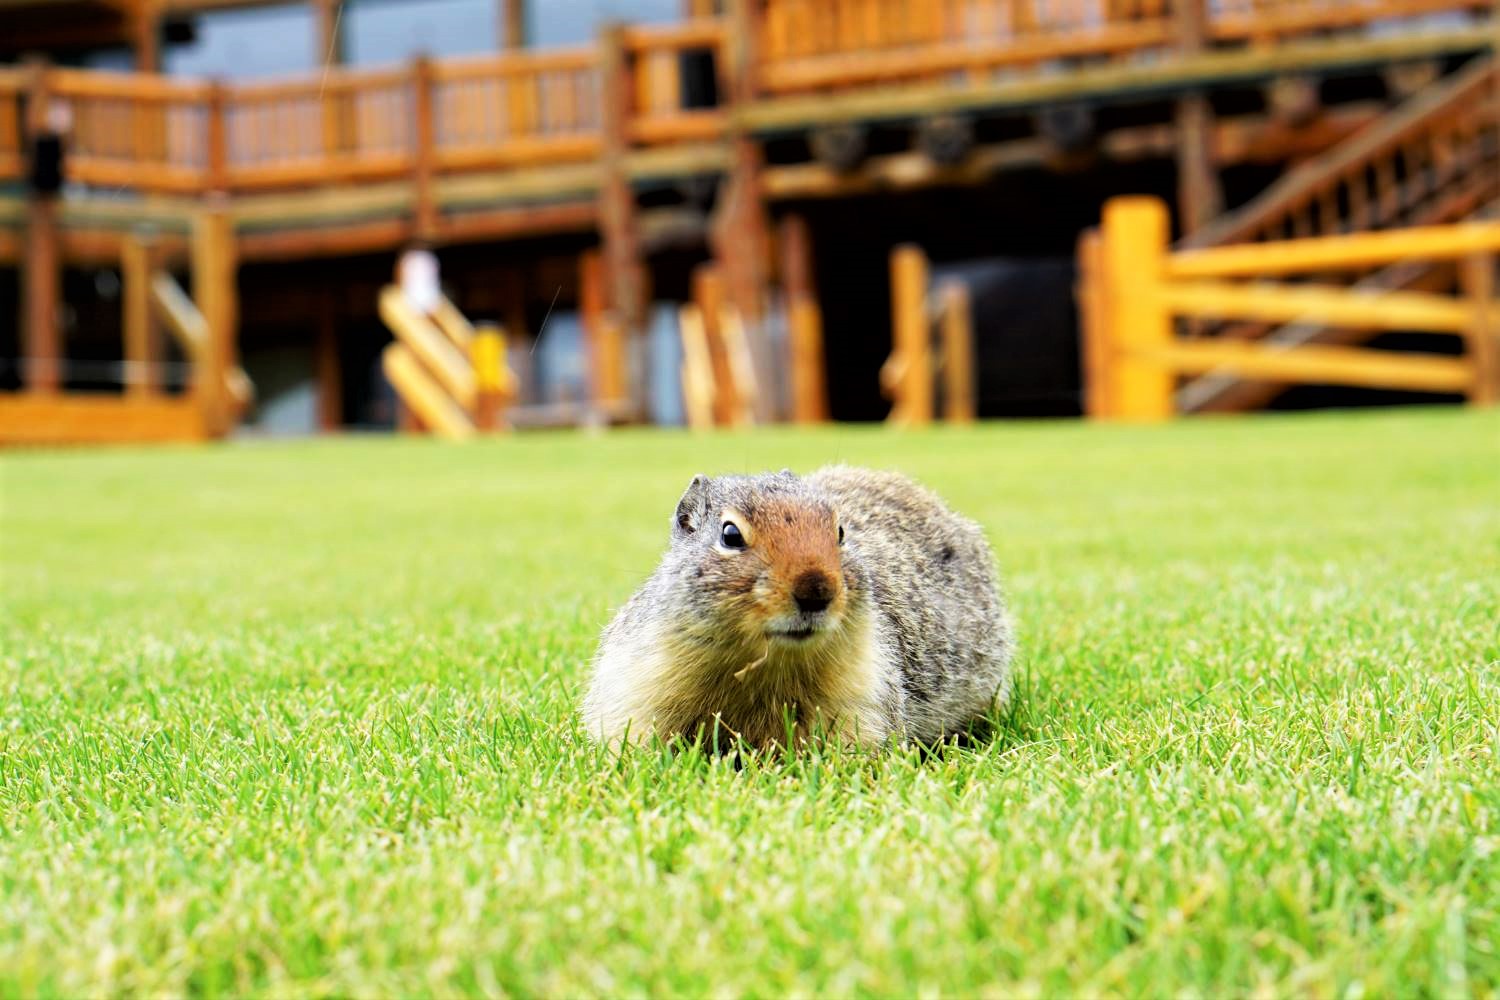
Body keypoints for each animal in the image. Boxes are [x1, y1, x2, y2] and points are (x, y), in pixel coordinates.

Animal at [579, 470, 1014, 749]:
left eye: (840, 532)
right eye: (730, 534)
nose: (816, 589)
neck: (763, 665)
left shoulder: (863, 688)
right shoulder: (639, 677)